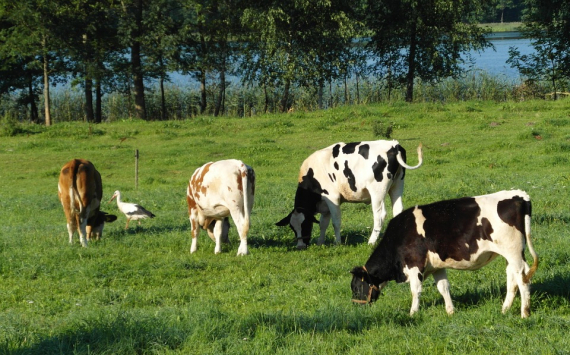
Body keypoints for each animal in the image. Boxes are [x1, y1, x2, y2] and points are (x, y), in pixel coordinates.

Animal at [276, 140, 422, 249]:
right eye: (292, 228)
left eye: (305, 224)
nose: (300, 246)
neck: (312, 174)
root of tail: (393, 144)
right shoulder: (325, 205)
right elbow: (323, 223)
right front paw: (320, 242)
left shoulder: (332, 198)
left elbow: (335, 222)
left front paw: (337, 243)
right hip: (397, 185)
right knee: (398, 210)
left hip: (377, 191)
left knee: (380, 215)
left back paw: (371, 241)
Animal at [348, 192, 540, 320]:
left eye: (356, 287)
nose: (356, 307)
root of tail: (519, 196)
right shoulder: (436, 267)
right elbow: (443, 288)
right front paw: (450, 311)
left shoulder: (415, 264)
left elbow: (415, 291)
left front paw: (413, 313)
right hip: (512, 255)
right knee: (513, 277)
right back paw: (505, 309)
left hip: (513, 252)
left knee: (522, 278)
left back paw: (524, 313)